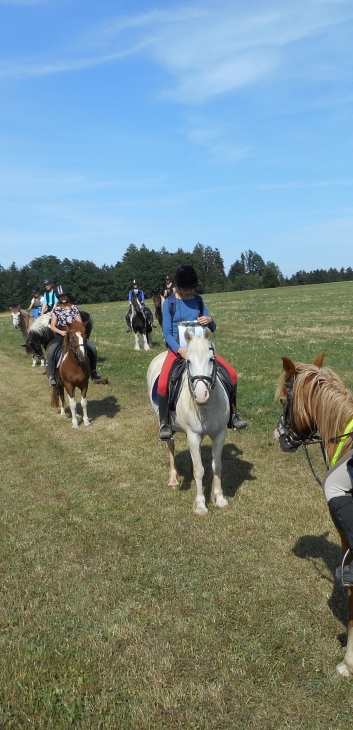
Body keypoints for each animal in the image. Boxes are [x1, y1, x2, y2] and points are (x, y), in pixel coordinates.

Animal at [147, 328, 230, 516]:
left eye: (211, 359)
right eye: (188, 361)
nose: (201, 395)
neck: (207, 406)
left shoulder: (220, 434)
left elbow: (217, 466)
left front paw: (219, 498)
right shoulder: (193, 435)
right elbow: (200, 470)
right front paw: (200, 505)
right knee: (170, 447)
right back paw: (173, 479)